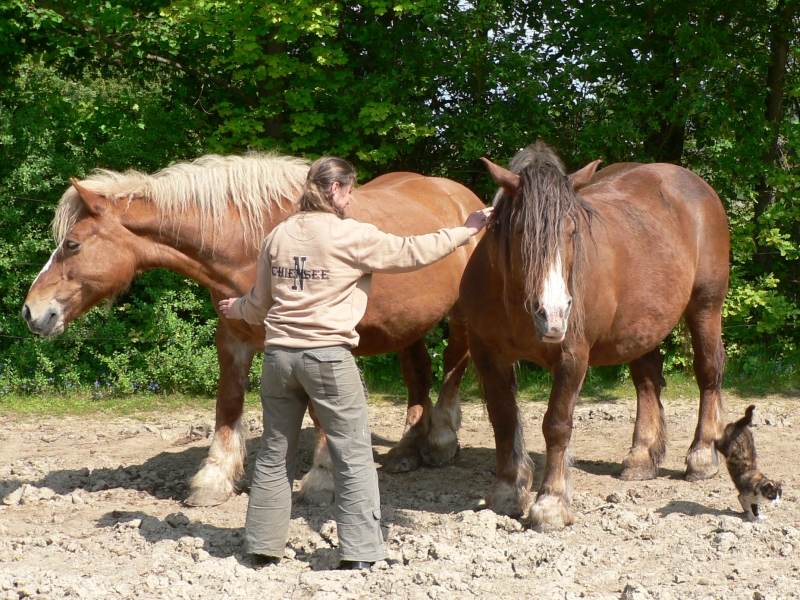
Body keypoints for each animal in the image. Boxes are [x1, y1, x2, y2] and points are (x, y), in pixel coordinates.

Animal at [460, 143, 730, 531]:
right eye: (521, 231)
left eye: (572, 231)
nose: (553, 313)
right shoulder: (487, 355)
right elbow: (503, 419)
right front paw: (507, 492)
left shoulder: (572, 357)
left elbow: (557, 425)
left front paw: (551, 503)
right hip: (641, 325)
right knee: (647, 380)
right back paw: (641, 457)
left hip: (706, 307)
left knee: (708, 371)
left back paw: (702, 457)